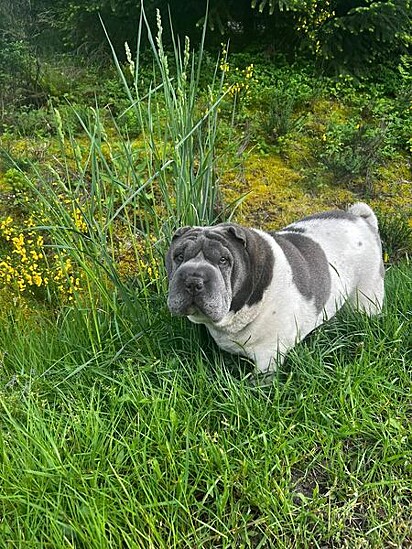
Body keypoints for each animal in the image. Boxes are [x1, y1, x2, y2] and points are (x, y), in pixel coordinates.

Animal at [166, 201, 384, 376]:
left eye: (223, 260)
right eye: (179, 256)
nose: (193, 279)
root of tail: (360, 219)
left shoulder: (269, 355)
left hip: (367, 296)